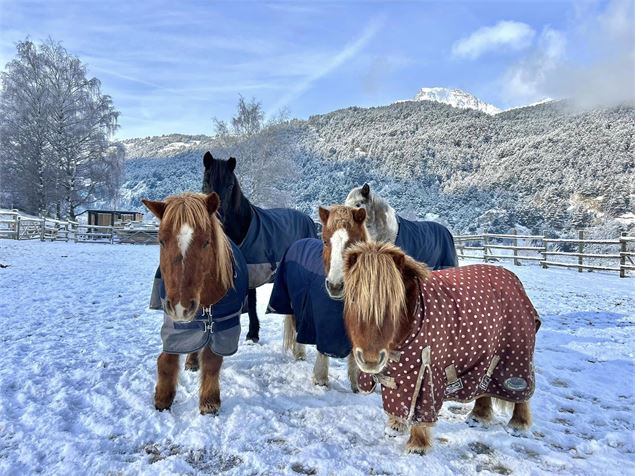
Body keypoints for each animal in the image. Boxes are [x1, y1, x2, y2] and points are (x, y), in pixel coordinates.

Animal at [143, 192, 247, 414]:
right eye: (161, 241)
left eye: (206, 242)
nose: (181, 307)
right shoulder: (173, 323)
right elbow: (167, 359)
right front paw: (162, 398)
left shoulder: (223, 324)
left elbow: (212, 361)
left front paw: (209, 401)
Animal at [202, 152, 316, 342]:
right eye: (206, 180)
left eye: (230, 185)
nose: (217, 216)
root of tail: (308, 219)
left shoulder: (251, 272)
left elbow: (251, 303)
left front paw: (252, 333)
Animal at [342, 242, 540, 454]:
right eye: (353, 299)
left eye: (394, 303)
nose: (370, 360)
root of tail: (513, 279)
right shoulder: (400, 372)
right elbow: (398, 401)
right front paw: (395, 426)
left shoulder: (426, 371)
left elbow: (421, 410)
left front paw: (417, 445)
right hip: (486, 354)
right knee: (484, 385)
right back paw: (478, 417)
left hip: (516, 356)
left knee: (520, 391)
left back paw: (518, 425)